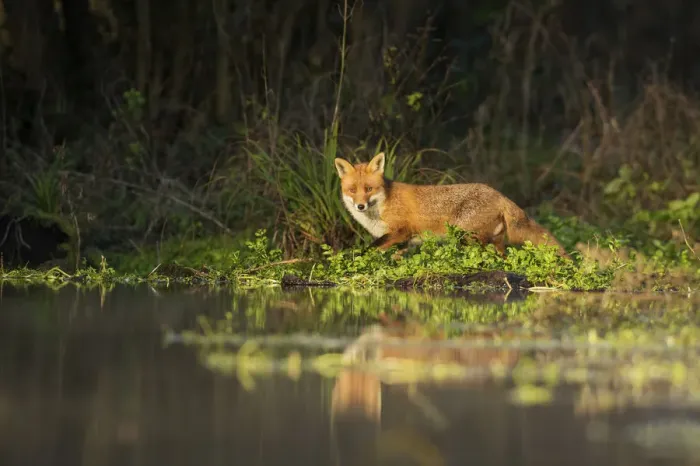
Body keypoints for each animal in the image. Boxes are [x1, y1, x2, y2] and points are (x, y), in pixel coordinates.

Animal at [334, 152, 569, 258]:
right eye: (352, 190)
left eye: (369, 189)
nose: (360, 206)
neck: (383, 203)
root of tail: (499, 194)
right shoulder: (404, 241)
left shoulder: (401, 231)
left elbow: (369, 249)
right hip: (493, 239)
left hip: (467, 236)